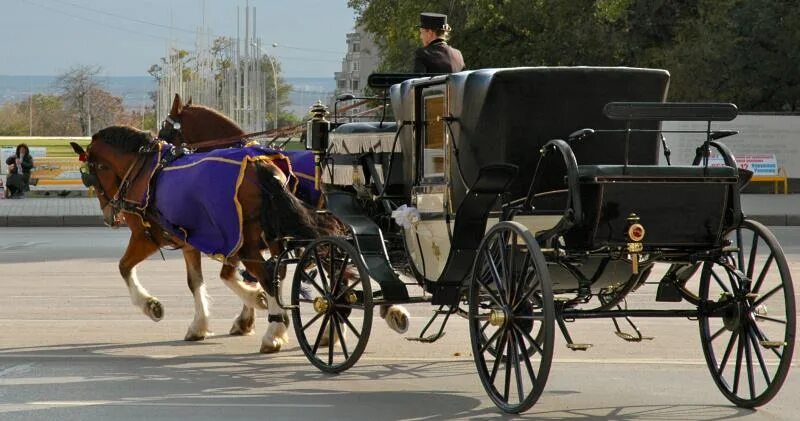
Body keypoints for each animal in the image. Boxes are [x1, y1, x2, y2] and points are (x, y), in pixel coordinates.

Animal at [70, 125, 336, 352]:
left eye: (91, 176)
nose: (109, 216)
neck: (143, 170)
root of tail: (261, 165)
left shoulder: (146, 237)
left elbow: (124, 267)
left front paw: (151, 305)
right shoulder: (191, 241)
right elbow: (196, 281)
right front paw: (202, 324)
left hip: (248, 243)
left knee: (270, 275)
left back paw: (275, 333)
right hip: (270, 238)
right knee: (280, 271)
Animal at [162, 94, 412, 334]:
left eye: (166, 126)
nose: (164, 153)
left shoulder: (245, 237)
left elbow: (248, 274)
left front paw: (258, 315)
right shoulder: (254, 239)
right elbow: (260, 273)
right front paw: (255, 315)